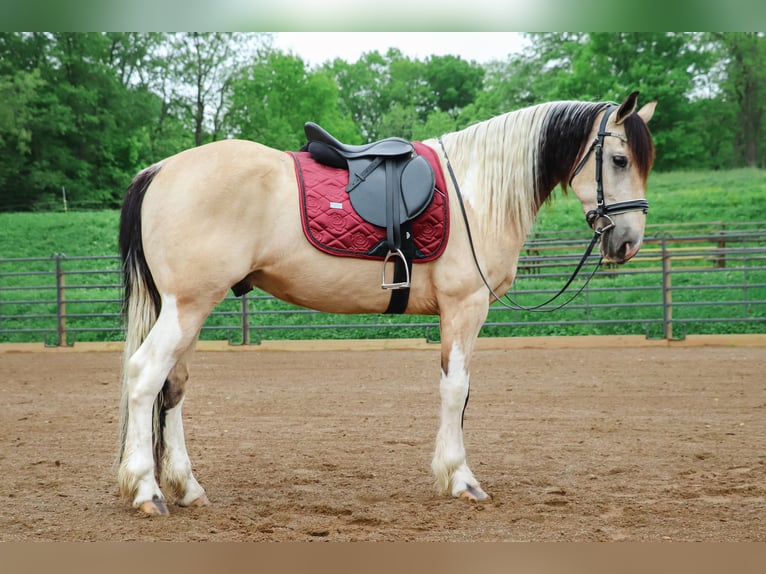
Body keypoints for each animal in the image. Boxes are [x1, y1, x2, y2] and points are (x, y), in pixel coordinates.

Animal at [117, 91, 656, 515]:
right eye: (620, 160)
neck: (475, 193)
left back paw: (188, 488)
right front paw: (460, 479)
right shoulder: (464, 308)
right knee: (145, 376)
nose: (628, 242)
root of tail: (161, 169)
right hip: (187, 306)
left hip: (190, 309)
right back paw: (147, 490)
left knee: (173, 386)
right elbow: (456, 390)